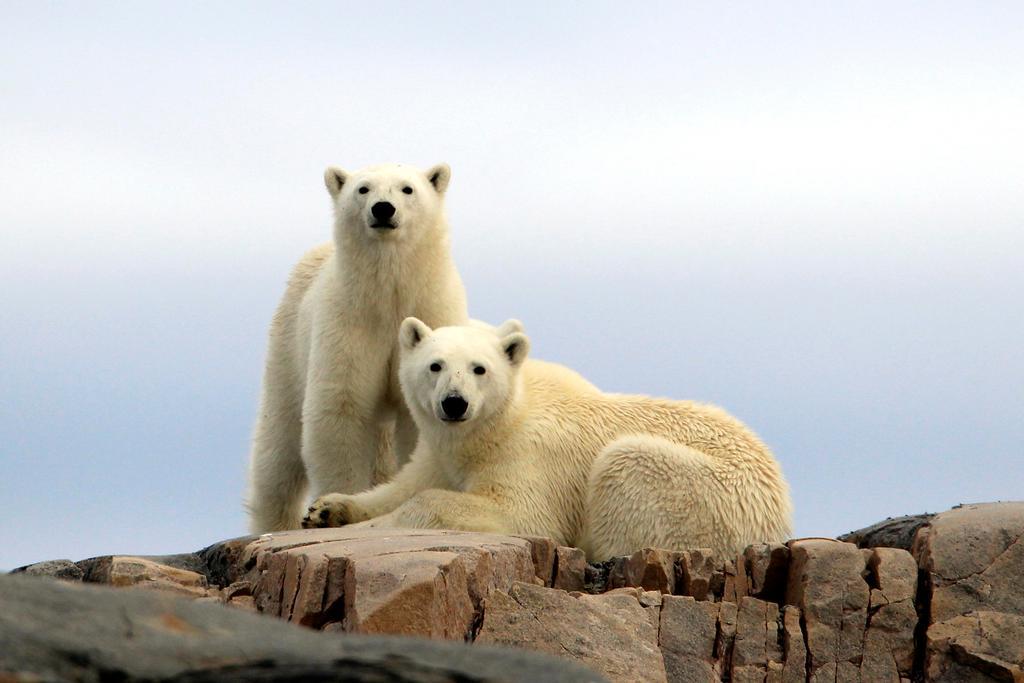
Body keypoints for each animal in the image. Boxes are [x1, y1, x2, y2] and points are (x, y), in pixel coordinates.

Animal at [245, 163, 468, 532]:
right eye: (363, 189)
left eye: (407, 189)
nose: (383, 209)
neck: (390, 296)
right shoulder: (349, 322)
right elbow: (341, 406)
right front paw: (332, 508)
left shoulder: (433, 310)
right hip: (288, 347)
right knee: (278, 452)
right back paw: (275, 525)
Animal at [299, 317, 794, 557]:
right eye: (435, 365)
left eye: (480, 368)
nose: (454, 404)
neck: (495, 424)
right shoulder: (439, 450)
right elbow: (404, 485)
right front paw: (326, 509)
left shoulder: (529, 456)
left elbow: (520, 514)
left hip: (708, 495)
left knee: (626, 463)